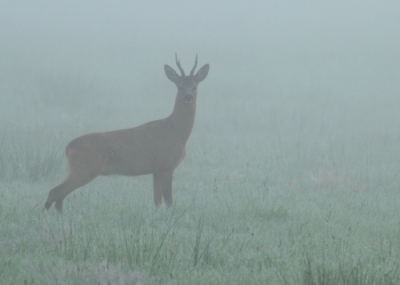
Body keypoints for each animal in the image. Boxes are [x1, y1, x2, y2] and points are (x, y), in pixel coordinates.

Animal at [44, 55, 211, 211]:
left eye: (195, 86)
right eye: (180, 87)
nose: (188, 97)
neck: (177, 131)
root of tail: (68, 147)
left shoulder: (156, 170)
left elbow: (157, 202)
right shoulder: (167, 166)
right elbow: (169, 201)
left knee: (59, 195)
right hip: (84, 168)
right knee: (54, 191)